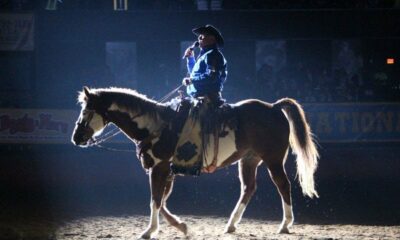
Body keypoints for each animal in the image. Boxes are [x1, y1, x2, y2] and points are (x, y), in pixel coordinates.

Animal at [72, 86, 318, 238]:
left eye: (87, 110)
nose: (76, 137)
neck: (156, 125)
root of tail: (274, 107)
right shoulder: (167, 171)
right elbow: (162, 201)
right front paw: (180, 226)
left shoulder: (159, 168)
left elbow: (155, 200)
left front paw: (149, 231)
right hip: (249, 160)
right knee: (248, 188)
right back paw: (231, 224)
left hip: (273, 160)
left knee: (283, 185)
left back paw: (285, 225)